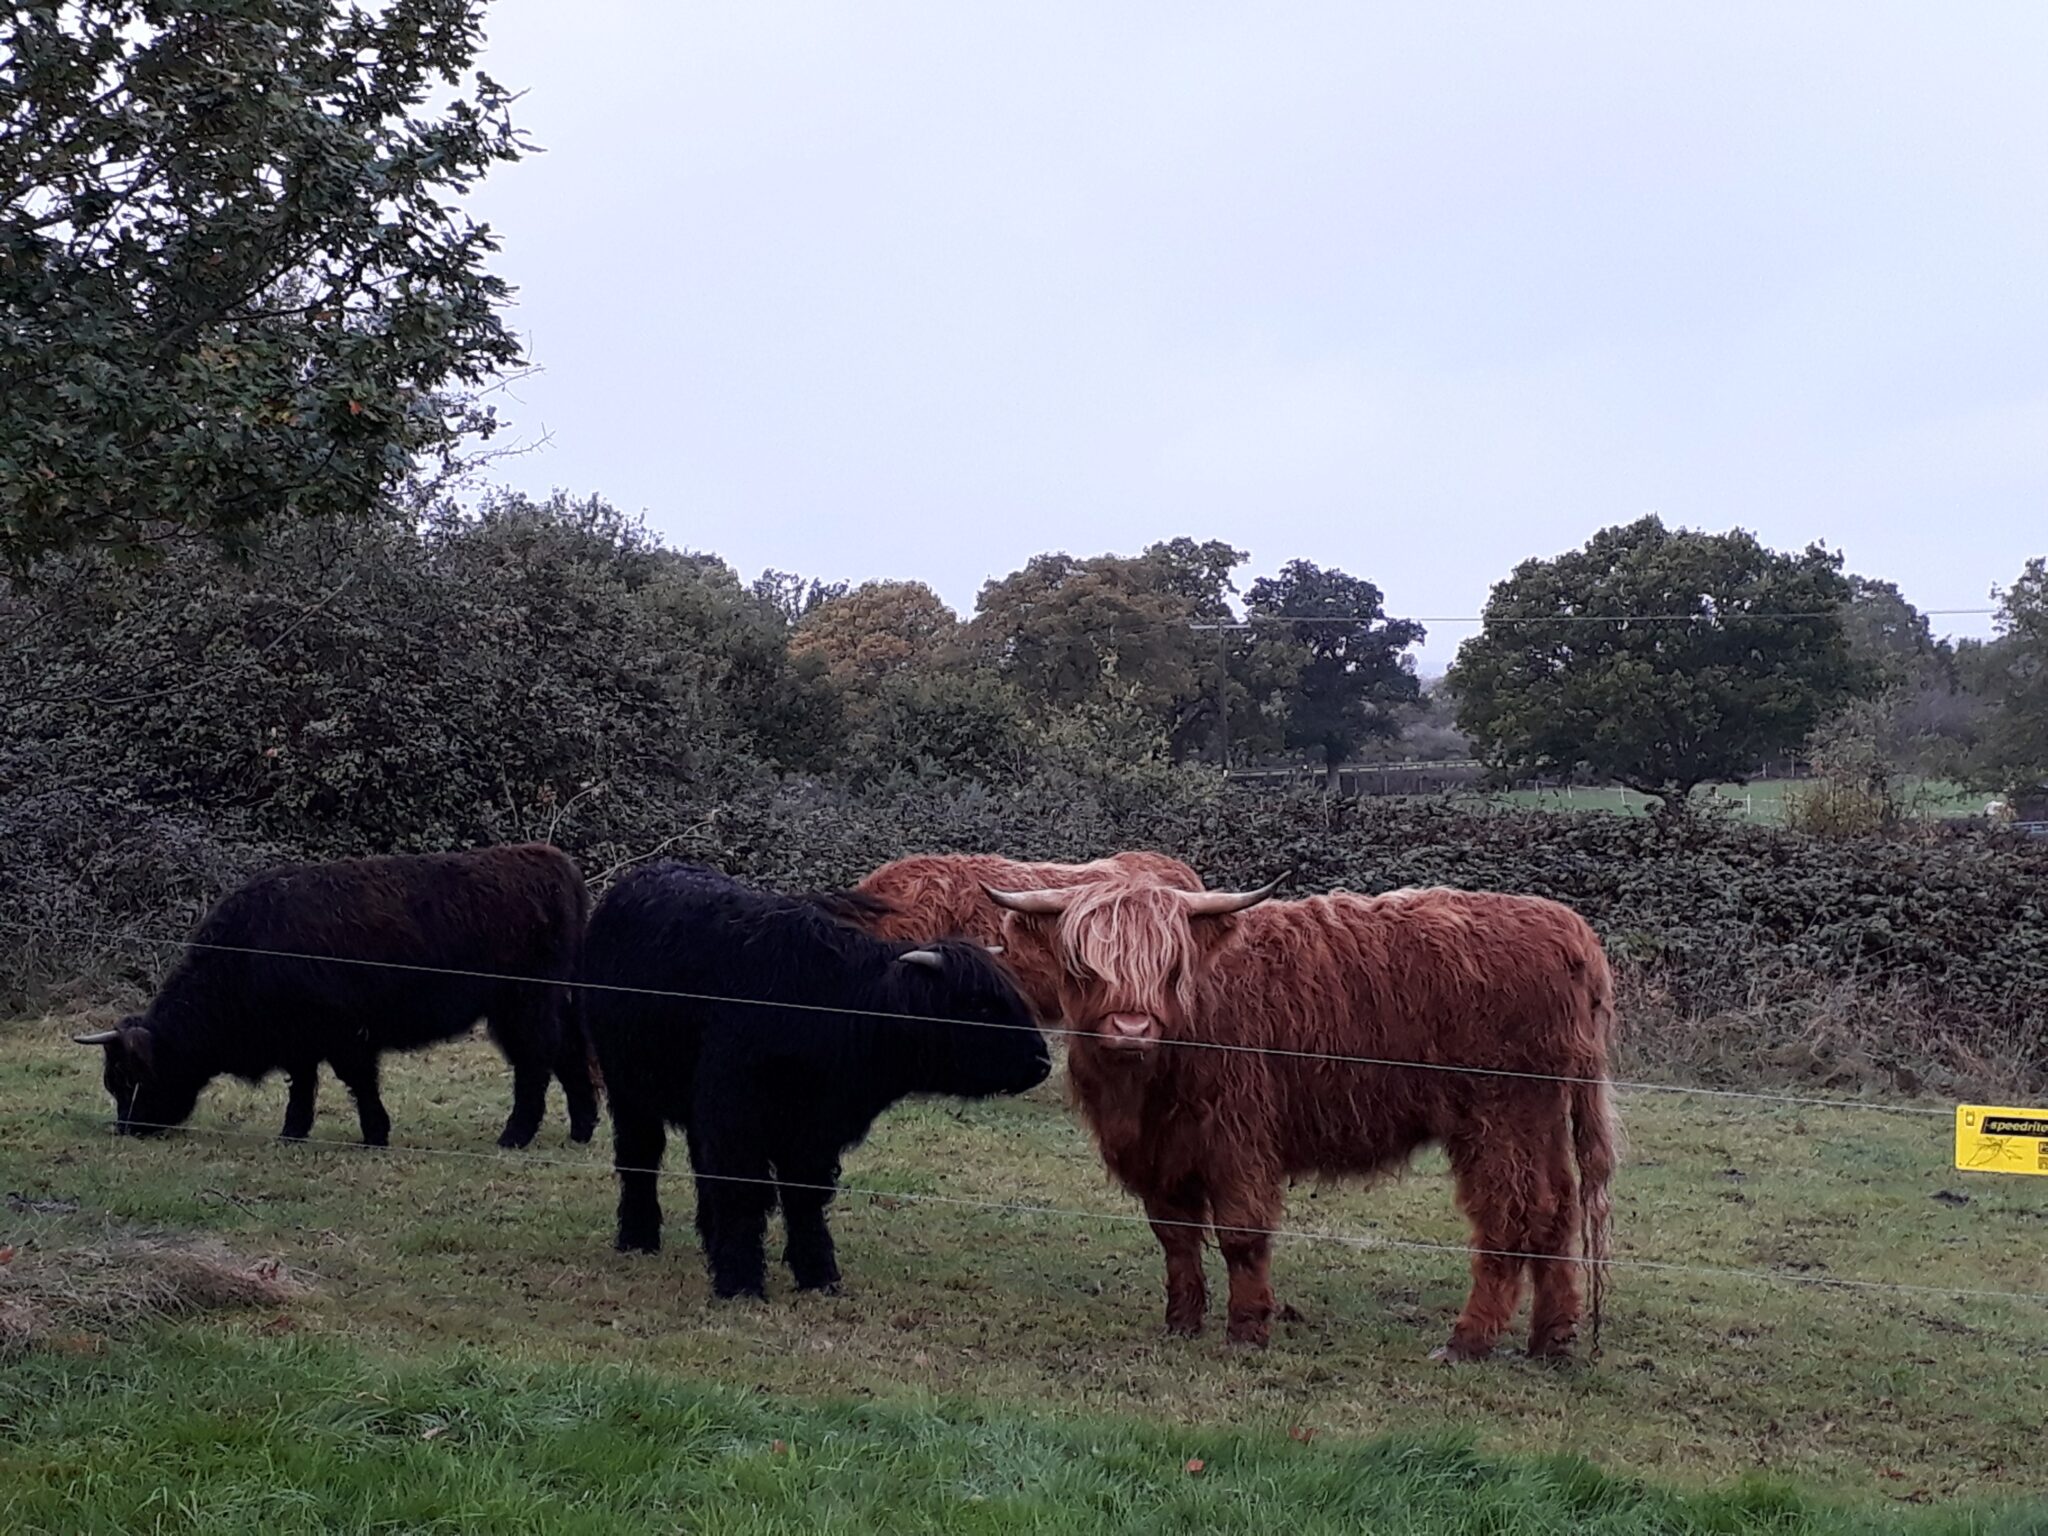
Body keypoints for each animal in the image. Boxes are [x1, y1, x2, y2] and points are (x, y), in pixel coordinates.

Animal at [73, 844, 597, 1150]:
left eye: (130, 1077)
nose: (128, 1129)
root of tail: (552, 861)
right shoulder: (300, 1041)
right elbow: (303, 1083)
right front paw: (293, 1131)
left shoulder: (346, 1035)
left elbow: (358, 1082)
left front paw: (375, 1134)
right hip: (548, 1001)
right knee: (570, 1053)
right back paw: (582, 1129)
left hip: (525, 1002)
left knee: (537, 1060)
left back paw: (515, 1136)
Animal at [584, 862, 1051, 1300]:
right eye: (979, 1005)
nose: (1042, 1062)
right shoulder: (738, 1116)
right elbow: (742, 1192)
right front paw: (739, 1281)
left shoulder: (813, 1130)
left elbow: (805, 1197)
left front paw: (818, 1274)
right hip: (628, 1086)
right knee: (640, 1155)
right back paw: (638, 1237)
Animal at [986, 875, 1619, 1363]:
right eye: (1083, 965)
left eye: (1170, 965)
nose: (1131, 1029)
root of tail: (1568, 928)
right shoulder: (1160, 1152)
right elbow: (1176, 1238)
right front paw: (1182, 1322)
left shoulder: (1238, 1137)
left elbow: (1240, 1235)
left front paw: (1246, 1331)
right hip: (1540, 1116)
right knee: (1556, 1212)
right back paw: (1552, 1341)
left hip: (1500, 1114)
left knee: (1512, 1216)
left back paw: (1467, 1341)